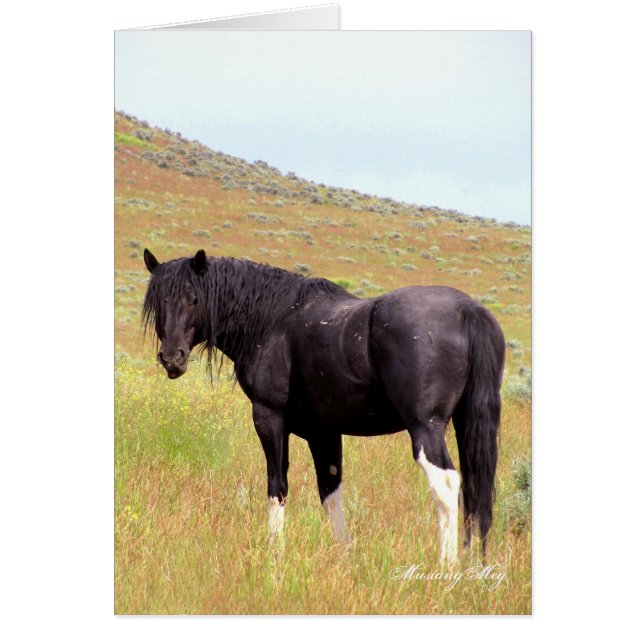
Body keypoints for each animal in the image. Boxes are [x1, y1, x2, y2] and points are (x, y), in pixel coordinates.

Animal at [142, 248, 505, 564]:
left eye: (194, 298)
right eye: (160, 301)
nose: (172, 358)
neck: (272, 319)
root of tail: (468, 311)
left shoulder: (269, 417)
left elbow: (277, 486)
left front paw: (274, 554)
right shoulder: (324, 433)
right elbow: (331, 492)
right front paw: (345, 557)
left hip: (425, 428)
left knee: (446, 485)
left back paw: (447, 567)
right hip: (465, 423)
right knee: (474, 491)